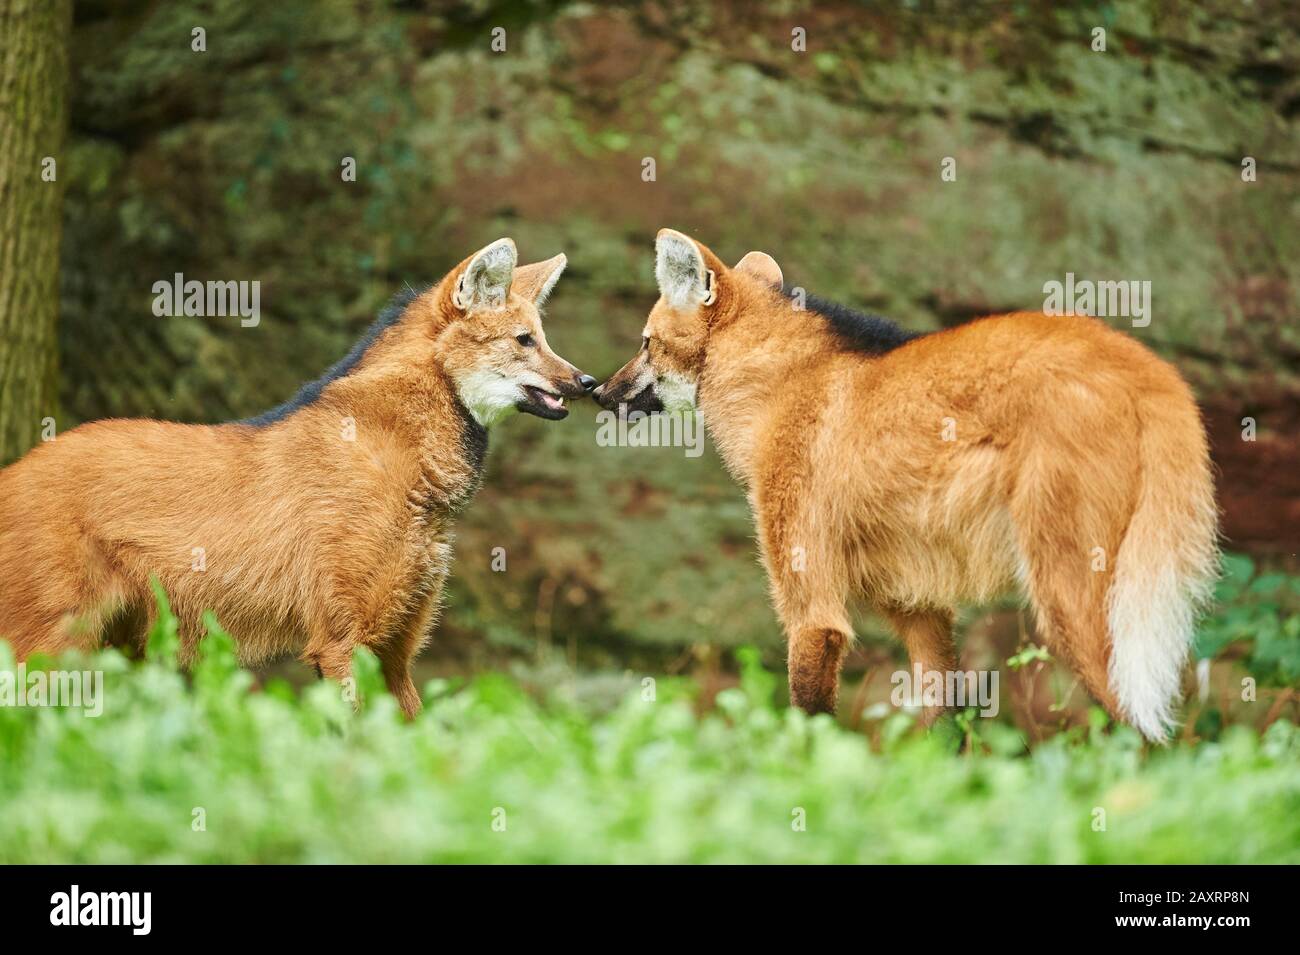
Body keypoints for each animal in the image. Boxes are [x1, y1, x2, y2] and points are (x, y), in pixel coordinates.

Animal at [0, 237, 595, 716]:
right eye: (524, 340)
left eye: (543, 337)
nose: (586, 381)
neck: (409, 463)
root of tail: (15, 469)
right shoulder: (342, 641)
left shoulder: (394, 651)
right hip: (53, 645)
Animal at [595, 229, 1218, 741]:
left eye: (645, 343)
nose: (599, 391)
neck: (773, 385)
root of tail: (1148, 368)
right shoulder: (919, 607)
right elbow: (942, 725)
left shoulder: (812, 608)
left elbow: (809, 724)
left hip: (1077, 597)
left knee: (1142, 727)